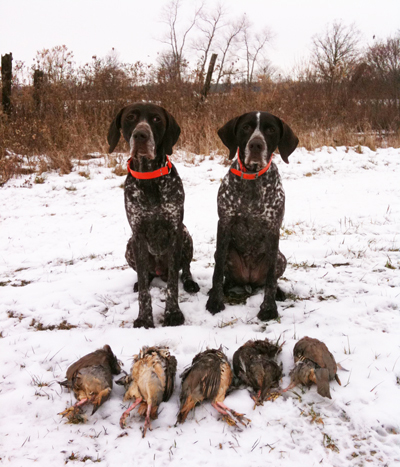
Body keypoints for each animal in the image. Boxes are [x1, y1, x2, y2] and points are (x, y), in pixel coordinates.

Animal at [108, 102, 198, 330]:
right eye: (130, 117)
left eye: (156, 119)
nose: (140, 135)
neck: (149, 177)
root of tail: (159, 272)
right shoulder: (138, 236)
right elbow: (143, 292)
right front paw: (144, 318)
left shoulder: (175, 231)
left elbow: (174, 283)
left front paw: (173, 313)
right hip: (129, 246)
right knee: (144, 276)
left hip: (186, 235)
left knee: (185, 269)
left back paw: (190, 282)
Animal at [206, 111, 296, 322]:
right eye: (246, 127)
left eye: (271, 129)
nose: (256, 145)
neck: (252, 179)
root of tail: (249, 280)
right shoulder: (224, 223)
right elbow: (217, 272)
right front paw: (215, 301)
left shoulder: (273, 228)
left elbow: (271, 279)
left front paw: (269, 309)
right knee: (226, 276)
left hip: (280, 258)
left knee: (268, 281)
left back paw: (278, 292)